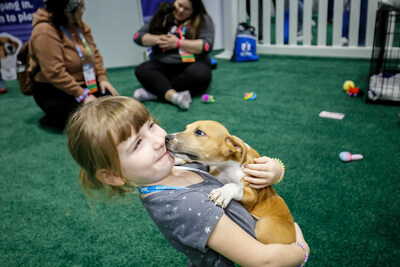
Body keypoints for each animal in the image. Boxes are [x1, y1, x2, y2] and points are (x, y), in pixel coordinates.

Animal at [166, 121, 296, 245]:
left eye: (199, 132)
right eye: (185, 128)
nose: (167, 137)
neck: (227, 166)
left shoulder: (252, 196)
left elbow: (235, 186)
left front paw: (222, 193)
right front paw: (179, 159)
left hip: (264, 225)